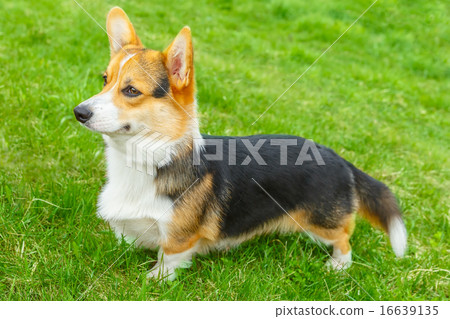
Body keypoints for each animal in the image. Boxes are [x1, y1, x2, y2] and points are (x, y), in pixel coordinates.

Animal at [74, 6, 408, 280]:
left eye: (131, 90)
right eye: (104, 80)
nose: (79, 112)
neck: (148, 159)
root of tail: (338, 157)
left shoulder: (178, 238)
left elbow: (168, 260)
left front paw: (153, 281)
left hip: (321, 222)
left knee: (344, 237)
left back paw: (338, 266)